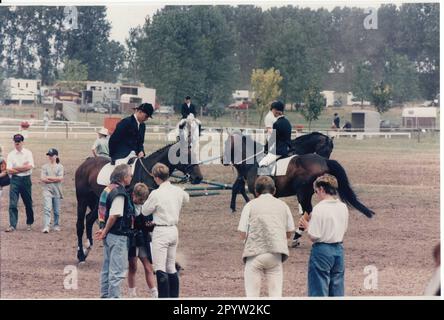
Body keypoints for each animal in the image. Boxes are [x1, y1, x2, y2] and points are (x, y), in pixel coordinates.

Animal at [74, 143, 203, 262]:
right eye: (185, 154)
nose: (198, 178)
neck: (148, 172)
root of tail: (86, 163)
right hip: (82, 199)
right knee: (80, 224)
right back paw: (80, 255)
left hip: (99, 201)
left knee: (89, 219)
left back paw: (87, 249)